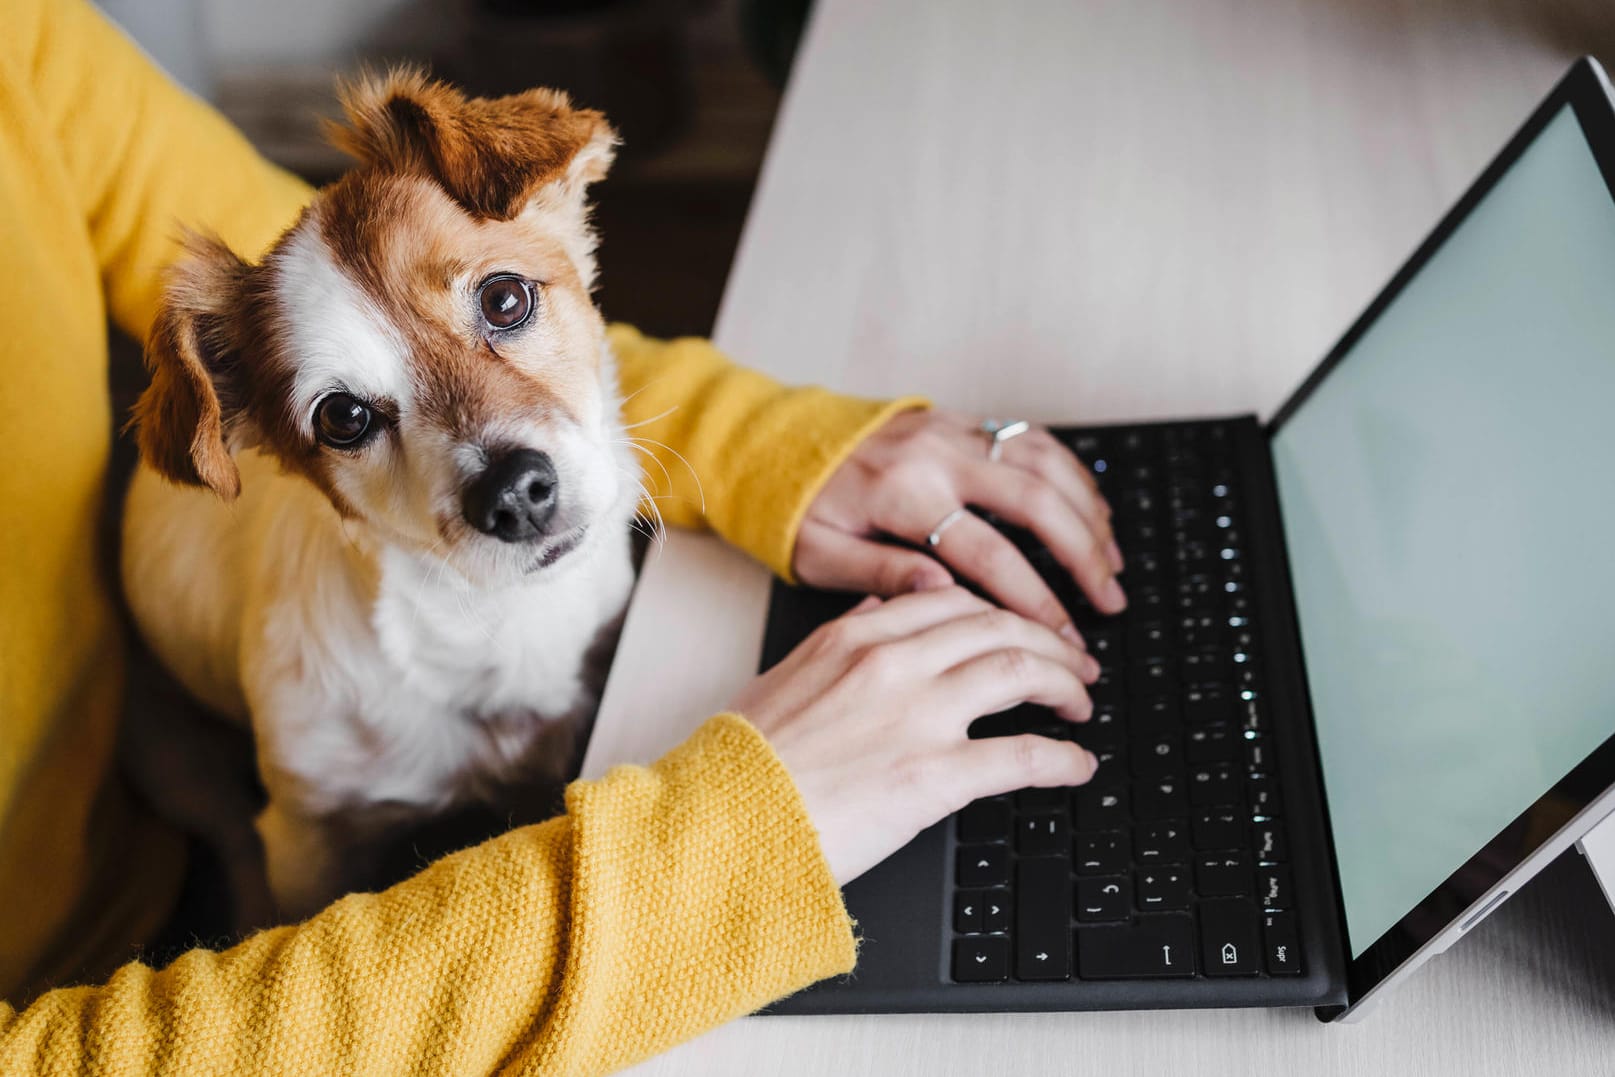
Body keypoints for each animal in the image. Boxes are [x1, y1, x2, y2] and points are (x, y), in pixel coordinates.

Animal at [122, 71, 639, 923]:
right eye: (343, 417)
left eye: (505, 299)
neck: (491, 620)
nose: (513, 494)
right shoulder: (307, 836)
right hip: (182, 764)